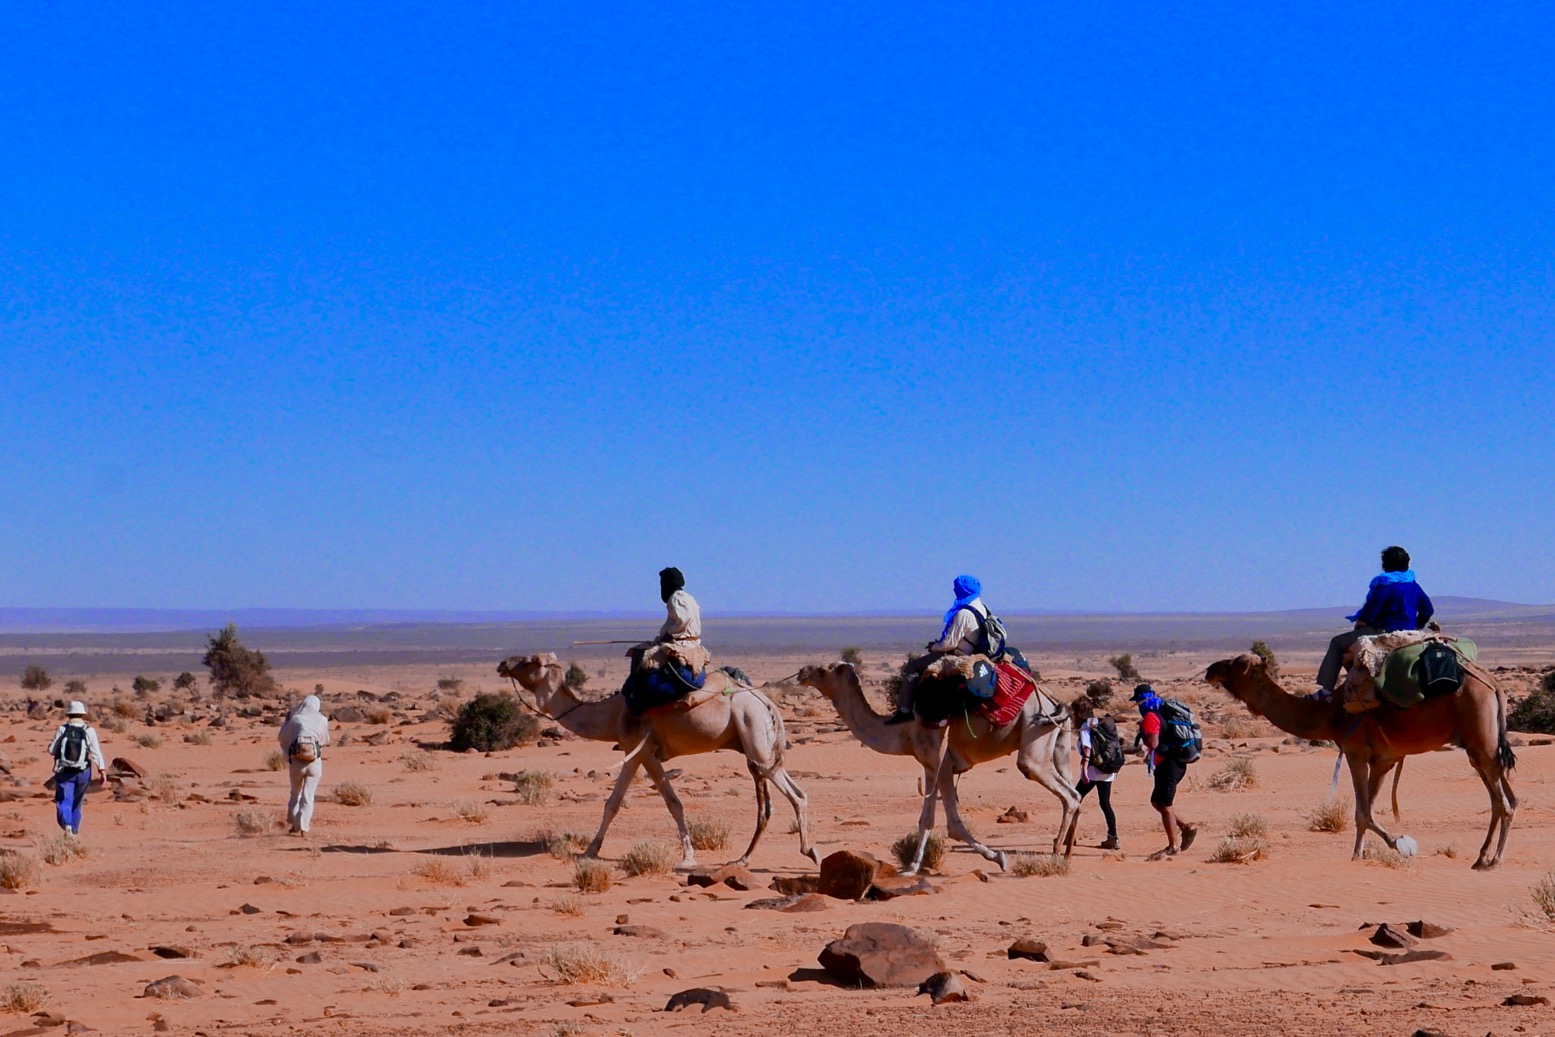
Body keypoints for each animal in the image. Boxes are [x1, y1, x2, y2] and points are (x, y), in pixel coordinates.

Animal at [496, 653, 818, 869]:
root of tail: (766, 702)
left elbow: (670, 803)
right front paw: (590, 851)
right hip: (760, 747)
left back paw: (809, 852)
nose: (503, 664)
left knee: (795, 795)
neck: (612, 713)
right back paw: (744, 858)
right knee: (786, 792)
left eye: (529, 661)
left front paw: (688, 857)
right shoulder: (633, 752)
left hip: (753, 730)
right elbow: (614, 803)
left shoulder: (643, 751)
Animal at [796, 661, 1080, 873]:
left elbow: (941, 822)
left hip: (1033, 732)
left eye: (823, 670)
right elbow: (937, 820)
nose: (802, 672)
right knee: (1075, 791)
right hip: (1057, 743)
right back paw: (1067, 851)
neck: (902, 730)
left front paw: (912, 866)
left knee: (1059, 789)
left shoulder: (937, 763)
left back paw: (1056, 852)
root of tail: (1052, 699)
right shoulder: (936, 766)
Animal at [1205, 653, 1516, 869]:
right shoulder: (1383, 760)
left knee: (1502, 801)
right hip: (1480, 746)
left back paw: (1494, 861)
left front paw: (1383, 847)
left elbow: (1362, 812)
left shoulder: (1355, 752)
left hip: (1480, 735)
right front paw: (1367, 851)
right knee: (1505, 797)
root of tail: (1494, 686)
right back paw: (1481, 857)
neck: (1330, 714)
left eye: (1235, 664)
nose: (1209, 670)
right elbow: (1369, 808)